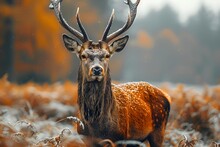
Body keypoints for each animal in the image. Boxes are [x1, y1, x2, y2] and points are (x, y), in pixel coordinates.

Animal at [50, 0, 172, 146]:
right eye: (83, 55)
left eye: (107, 55)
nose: (97, 69)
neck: (96, 128)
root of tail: (166, 96)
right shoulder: (84, 138)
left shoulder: (119, 138)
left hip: (159, 130)